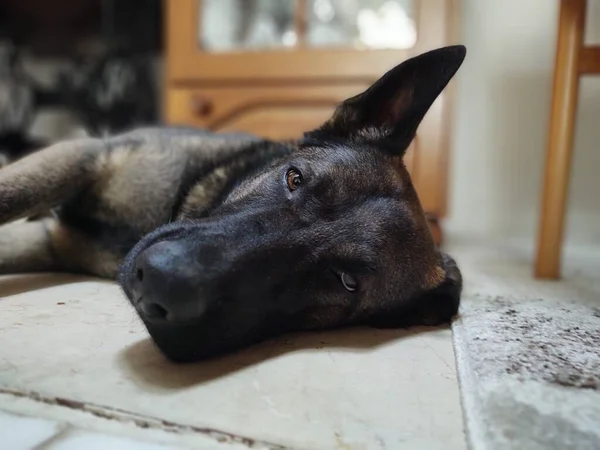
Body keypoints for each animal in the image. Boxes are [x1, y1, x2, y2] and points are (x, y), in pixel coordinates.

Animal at [0, 45, 466, 362]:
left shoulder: (50, 241)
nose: (160, 280)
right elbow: (13, 192)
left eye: (347, 282)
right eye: (294, 177)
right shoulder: (83, 155)